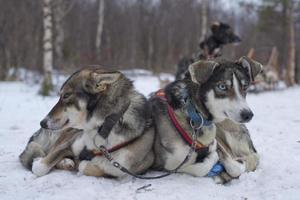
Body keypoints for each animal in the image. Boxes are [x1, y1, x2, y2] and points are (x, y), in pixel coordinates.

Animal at [19, 68, 155, 177]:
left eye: (66, 95)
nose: (42, 123)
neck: (103, 128)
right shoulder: (69, 143)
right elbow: (40, 167)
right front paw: (40, 161)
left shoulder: (120, 167)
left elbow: (85, 166)